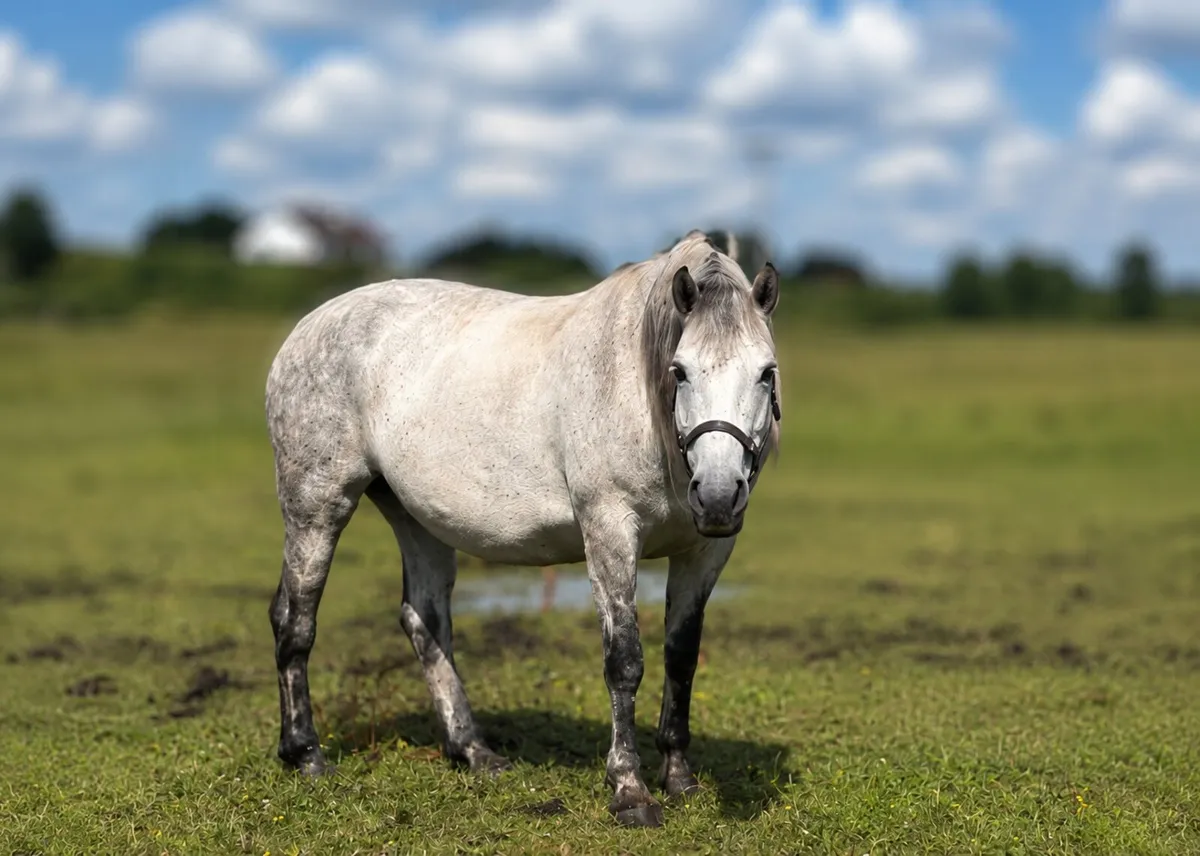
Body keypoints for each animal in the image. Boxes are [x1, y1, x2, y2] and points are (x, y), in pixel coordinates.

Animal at [264, 229, 783, 828]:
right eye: (680, 371)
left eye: (766, 372)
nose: (718, 495)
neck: (639, 396)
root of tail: (307, 328)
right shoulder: (609, 532)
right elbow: (625, 661)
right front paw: (629, 791)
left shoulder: (705, 552)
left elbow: (681, 656)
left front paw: (679, 778)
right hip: (316, 505)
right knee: (295, 619)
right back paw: (305, 754)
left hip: (416, 518)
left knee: (425, 621)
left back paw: (474, 751)